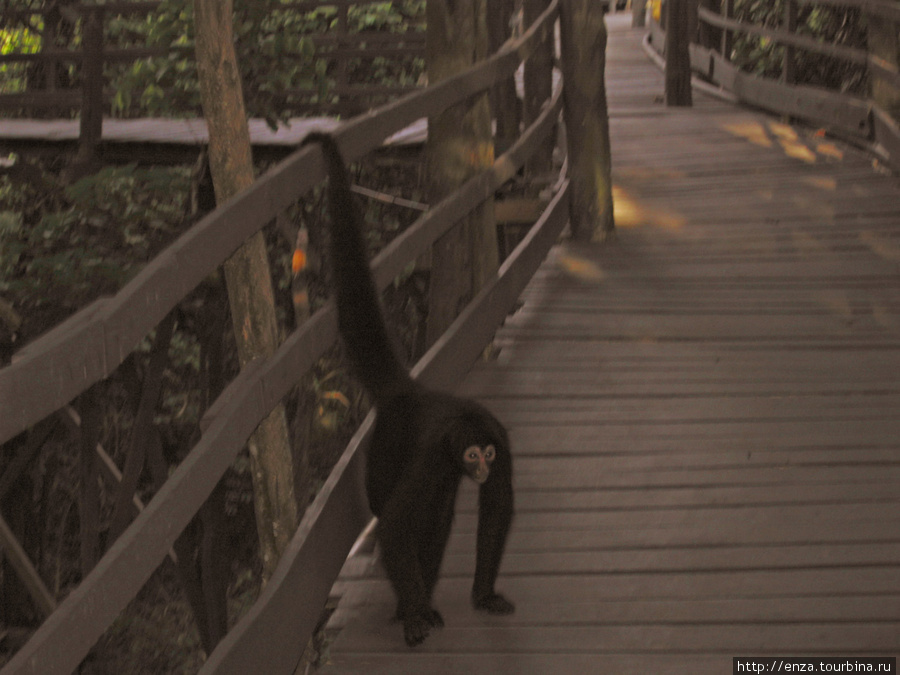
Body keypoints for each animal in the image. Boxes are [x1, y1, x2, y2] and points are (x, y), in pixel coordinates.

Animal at [300, 132, 512, 644]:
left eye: (488, 454)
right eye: (473, 454)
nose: (480, 466)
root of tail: (406, 392)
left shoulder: (501, 439)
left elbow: (495, 507)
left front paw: (482, 594)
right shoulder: (432, 455)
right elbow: (396, 524)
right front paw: (414, 615)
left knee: (438, 517)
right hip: (385, 446)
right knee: (408, 512)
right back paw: (410, 607)